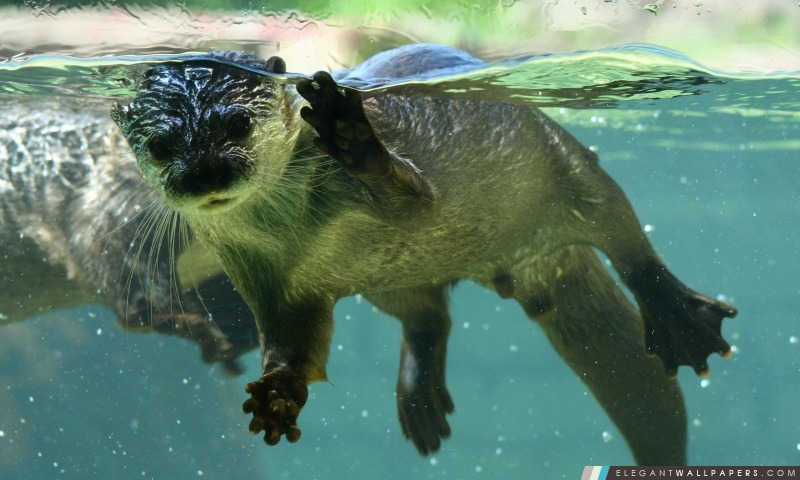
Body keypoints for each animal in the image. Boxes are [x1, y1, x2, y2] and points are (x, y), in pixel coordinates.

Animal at [112, 46, 736, 464]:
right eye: (161, 145)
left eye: (237, 122)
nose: (204, 174)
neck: (292, 231)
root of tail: (534, 263)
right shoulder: (260, 275)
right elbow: (293, 340)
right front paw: (278, 395)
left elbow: (415, 201)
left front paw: (349, 134)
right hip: (391, 284)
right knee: (427, 315)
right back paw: (421, 399)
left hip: (565, 163)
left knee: (625, 237)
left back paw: (679, 318)